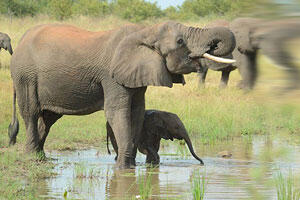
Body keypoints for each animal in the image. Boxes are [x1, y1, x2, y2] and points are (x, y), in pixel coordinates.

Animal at [8, 21, 236, 169]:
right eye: (180, 41)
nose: (203, 164)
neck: (145, 31)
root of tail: (21, 40)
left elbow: (136, 112)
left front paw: (131, 165)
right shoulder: (112, 76)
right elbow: (118, 111)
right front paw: (124, 169)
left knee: (48, 118)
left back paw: (41, 157)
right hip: (26, 76)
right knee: (31, 112)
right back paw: (32, 158)